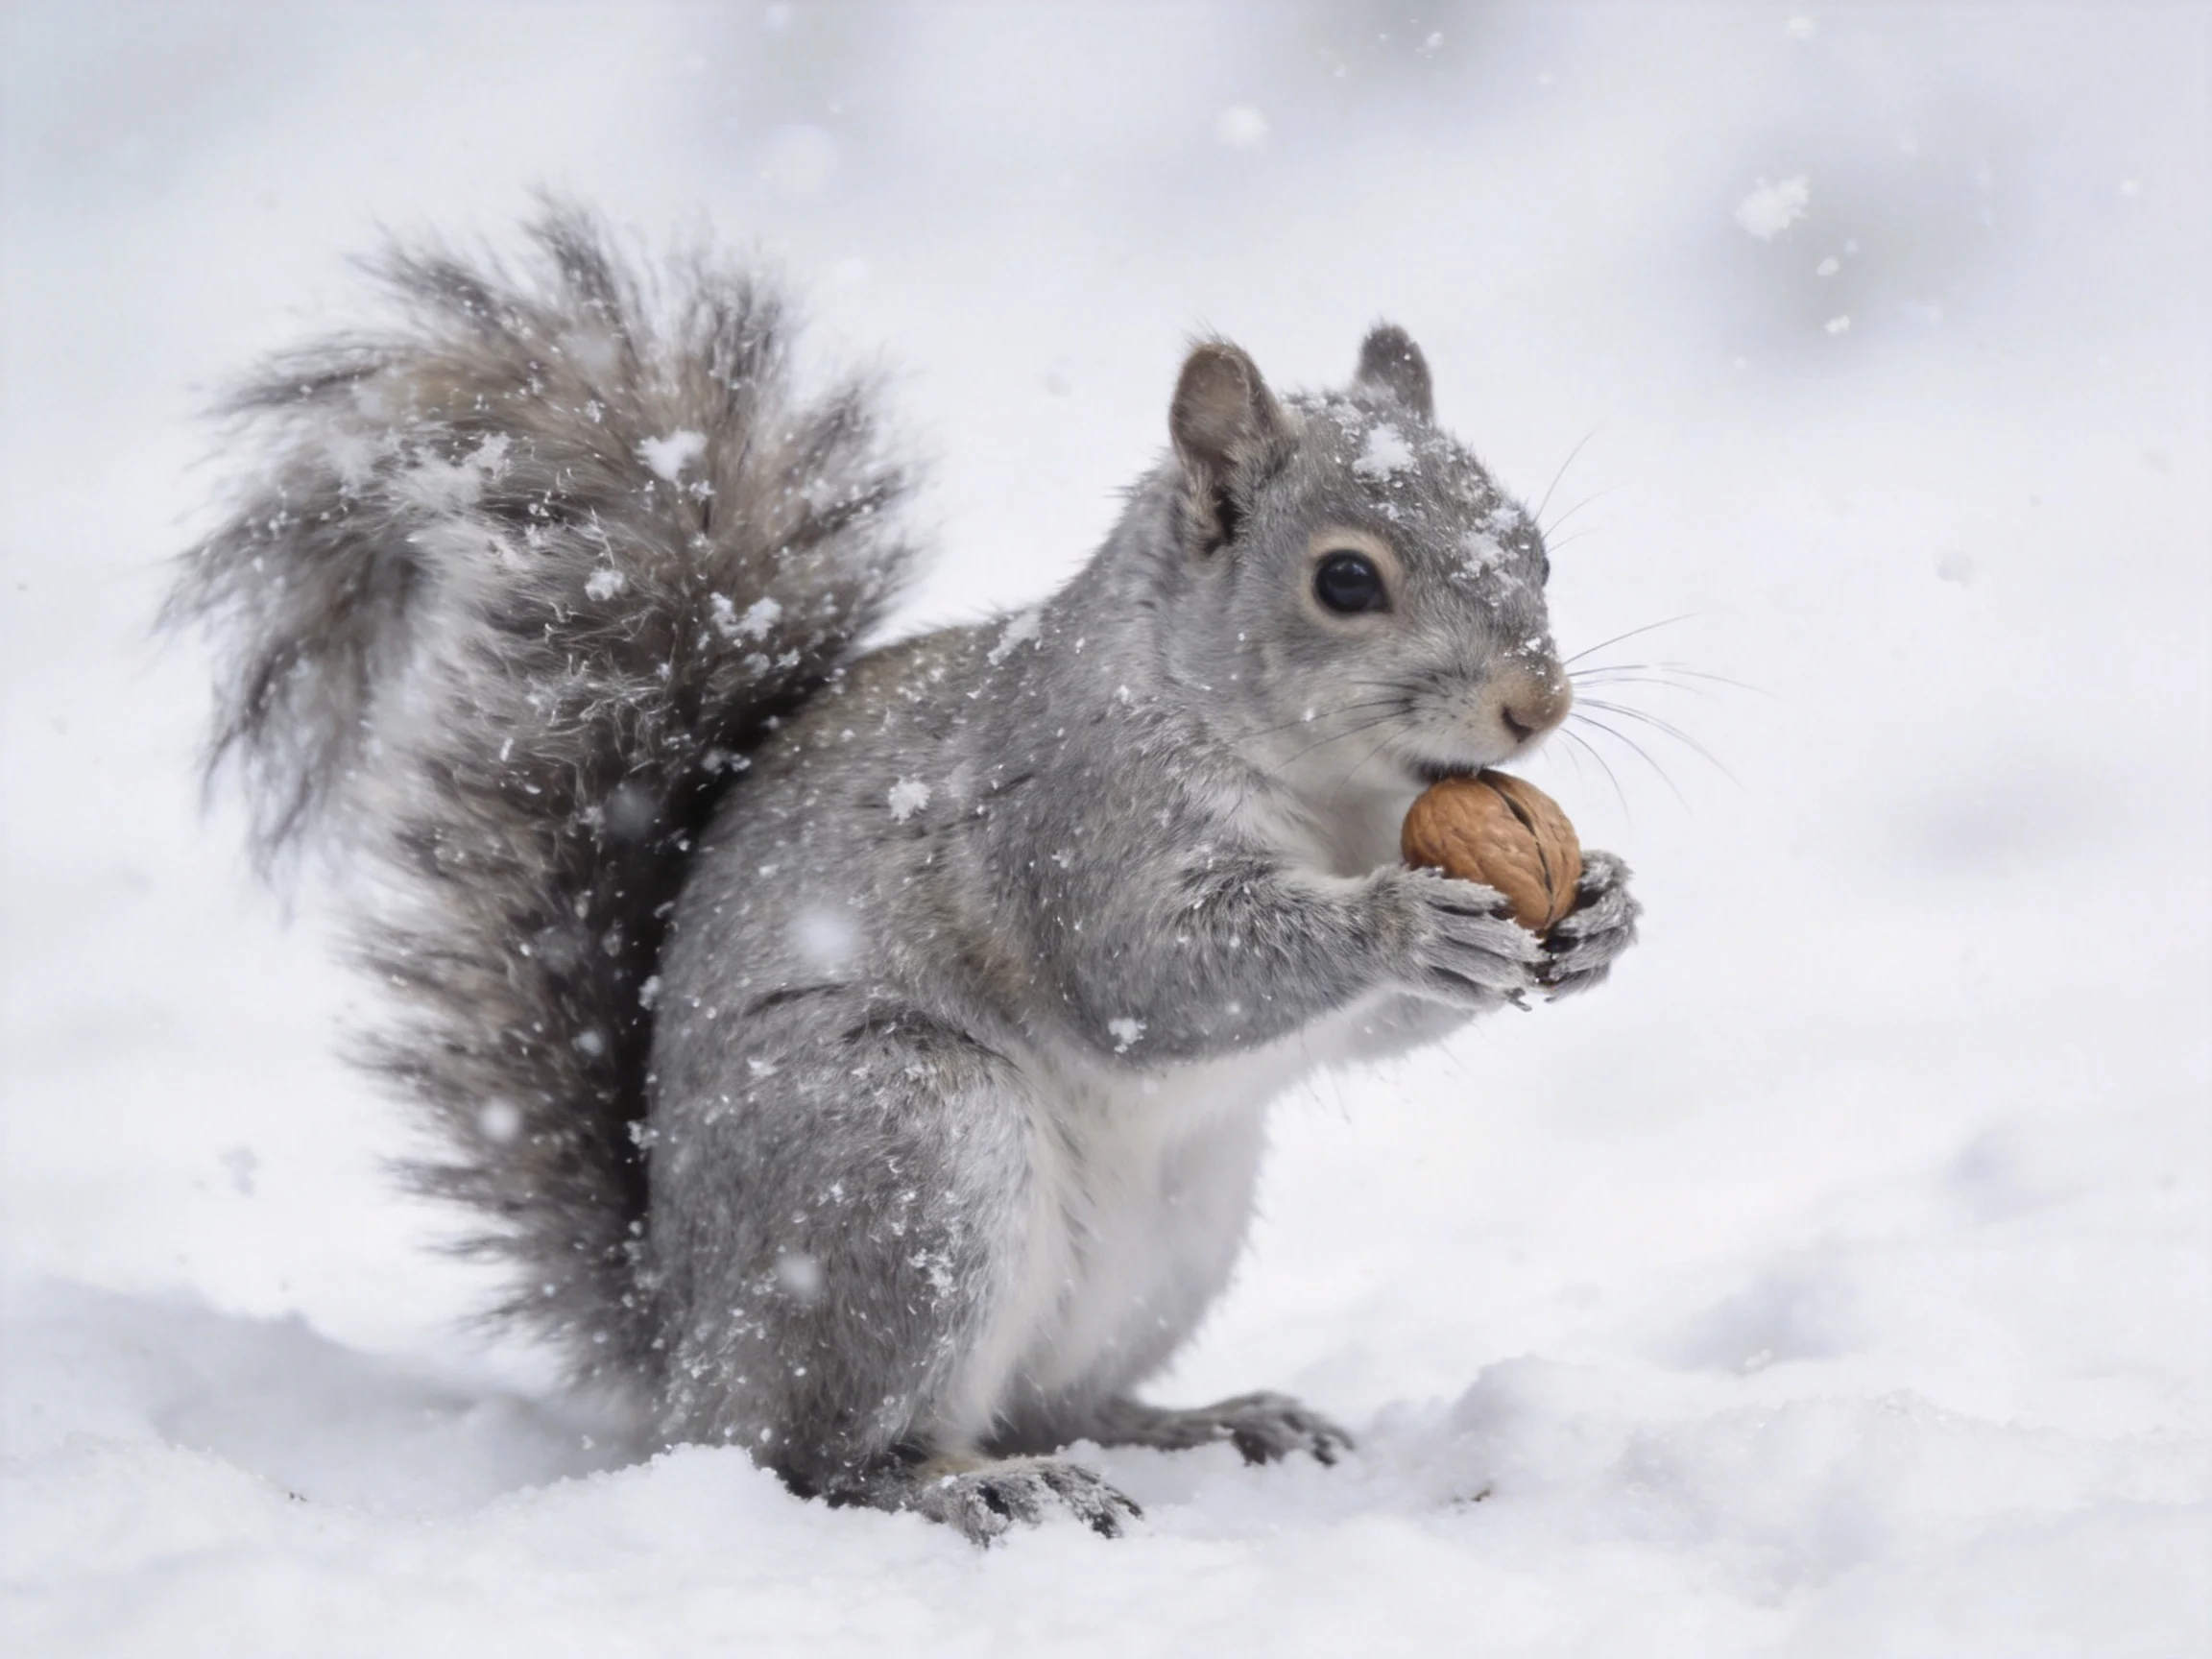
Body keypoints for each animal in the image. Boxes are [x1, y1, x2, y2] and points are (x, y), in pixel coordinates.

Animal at [169, 208, 1639, 1542]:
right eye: (1344, 582)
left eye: (1536, 548)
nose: (1538, 705)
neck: (1338, 797)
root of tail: (684, 1346)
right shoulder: (1077, 816)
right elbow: (1152, 973)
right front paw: (1402, 927)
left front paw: (1603, 915)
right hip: (900, 1155)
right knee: (827, 1456)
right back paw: (975, 1483)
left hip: (1175, 1231)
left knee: (1063, 1398)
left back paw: (1208, 1423)